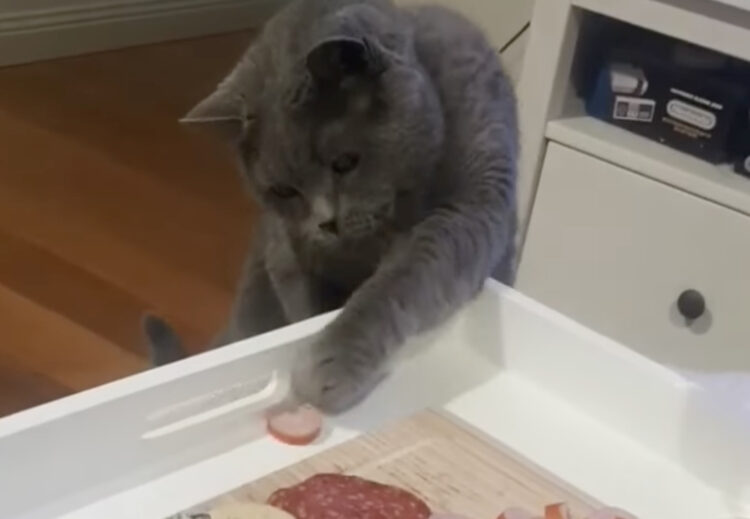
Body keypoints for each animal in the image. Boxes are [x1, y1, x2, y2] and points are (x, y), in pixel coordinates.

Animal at [146, 0, 518, 413]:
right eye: (283, 190)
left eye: (344, 162)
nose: (326, 222)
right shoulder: (287, 252)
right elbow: (303, 305)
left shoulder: (473, 204)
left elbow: (404, 275)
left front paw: (330, 363)